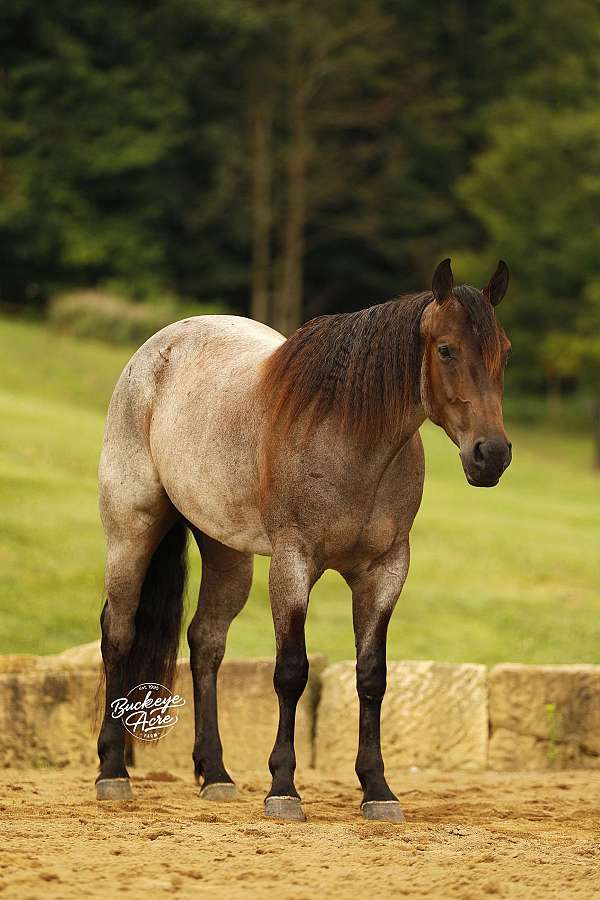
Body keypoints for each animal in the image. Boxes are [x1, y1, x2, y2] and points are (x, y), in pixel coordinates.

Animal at [96, 257, 512, 822]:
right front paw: (284, 789)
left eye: (504, 351)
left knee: (206, 643)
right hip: (131, 528)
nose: (492, 455)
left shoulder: (385, 571)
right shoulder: (293, 563)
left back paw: (217, 775)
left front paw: (378, 790)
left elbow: (372, 676)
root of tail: (156, 351)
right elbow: (291, 672)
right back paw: (112, 772)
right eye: (446, 349)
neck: (350, 439)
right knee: (118, 632)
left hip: (228, 552)